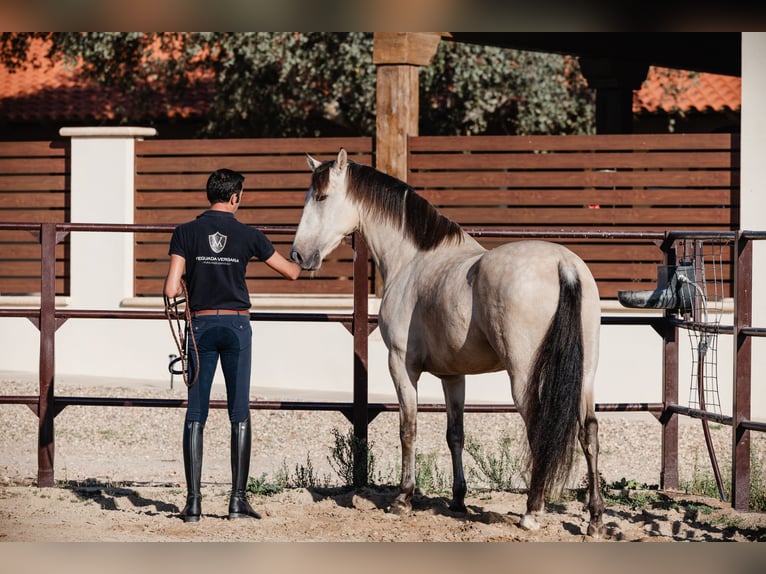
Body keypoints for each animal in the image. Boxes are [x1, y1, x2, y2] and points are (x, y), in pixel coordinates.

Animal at [290, 150, 608, 540]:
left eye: (321, 198)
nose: (298, 255)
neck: (412, 259)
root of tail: (564, 264)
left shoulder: (402, 366)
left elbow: (407, 429)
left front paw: (403, 499)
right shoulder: (453, 376)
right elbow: (455, 433)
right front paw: (458, 500)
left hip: (524, 378)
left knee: (540, 430)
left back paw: (532, 511)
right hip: (585, 375)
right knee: (589, 431)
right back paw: (595, 520)